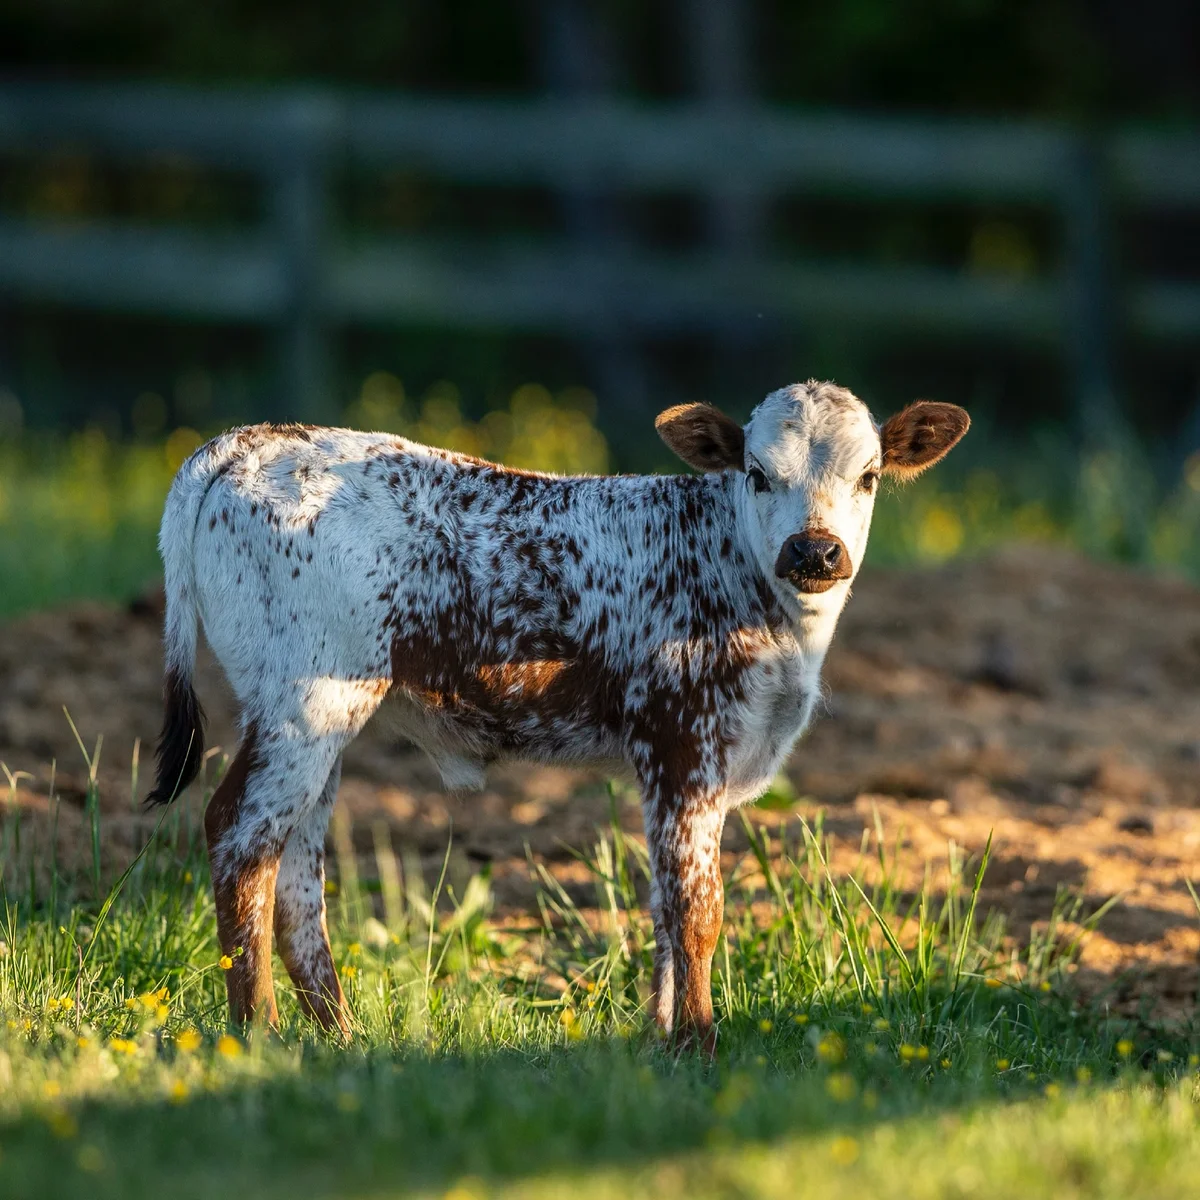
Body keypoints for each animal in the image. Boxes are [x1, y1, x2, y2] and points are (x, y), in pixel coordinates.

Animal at [147, 381, 969, 1049]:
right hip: (304, 701)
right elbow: (695, 910)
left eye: (869, 476)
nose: (815, 550)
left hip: (315, 721)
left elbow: (663, 907)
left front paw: (659, 1037)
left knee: (296, 872)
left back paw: (340, 1040)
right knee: (240, 837)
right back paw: (258, 1035)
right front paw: (697, 1045)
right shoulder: (682, 740)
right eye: (758, 473)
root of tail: (257, 439)